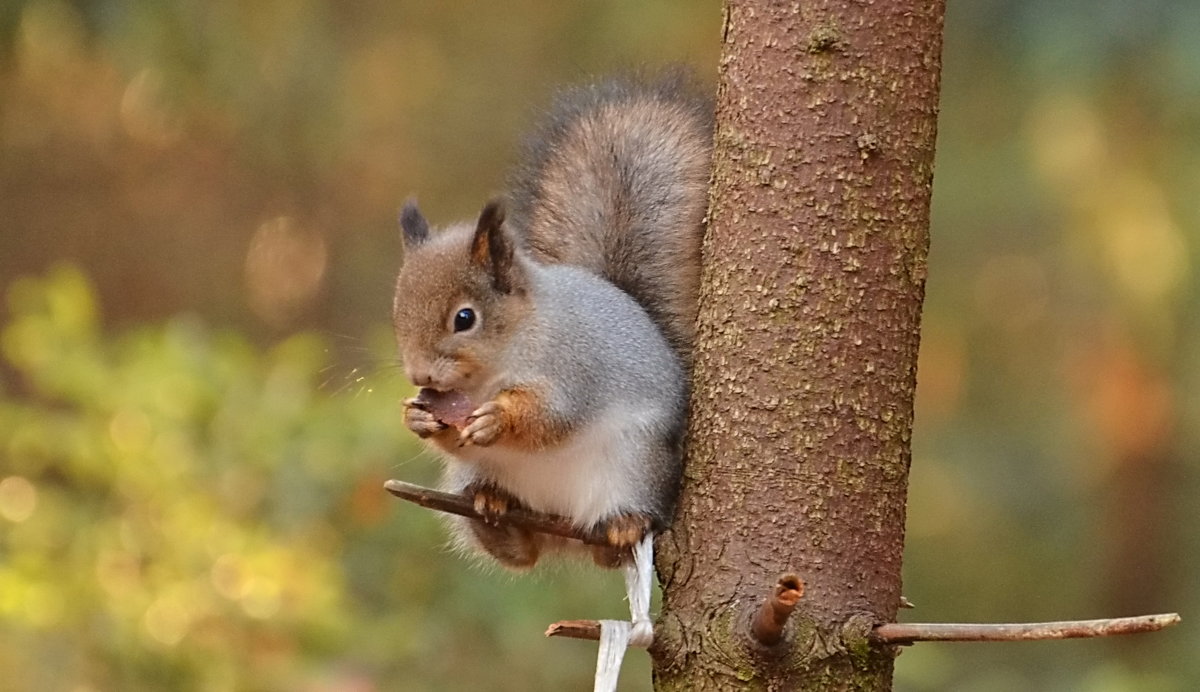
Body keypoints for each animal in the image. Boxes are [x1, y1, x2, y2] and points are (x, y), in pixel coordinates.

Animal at [393, 72, 710, 566]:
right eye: (397, 310)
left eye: (465, 318)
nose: (419, 375)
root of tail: (562, 528)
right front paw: (417, 418)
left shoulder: (573, 367)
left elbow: (552, 416)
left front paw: (498, 419)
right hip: (473, 475)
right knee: (518, 552)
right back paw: (495, 512)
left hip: (635, 463)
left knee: (613, 546)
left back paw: (623, 526)